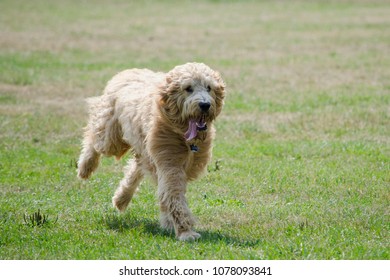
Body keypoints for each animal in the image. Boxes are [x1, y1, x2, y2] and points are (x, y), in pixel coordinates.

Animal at [77, 63, 225, 241]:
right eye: (188, 88)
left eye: (209, 87)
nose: (205, 105)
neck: (183, 135)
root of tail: (127, 71)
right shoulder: (169, 163)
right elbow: (173, 195)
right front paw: (185, 231)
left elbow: (166, 194)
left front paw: (170, 224)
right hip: (111, 135)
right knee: (94, 138)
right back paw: (85, 167)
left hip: (144, 149)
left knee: (135, 167)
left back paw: (121, 199)